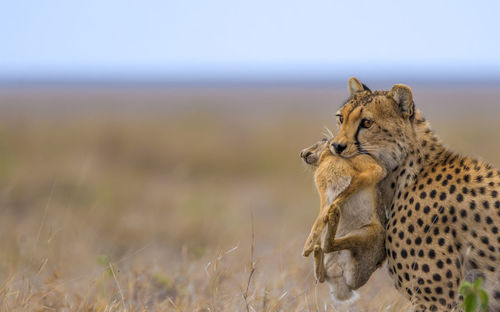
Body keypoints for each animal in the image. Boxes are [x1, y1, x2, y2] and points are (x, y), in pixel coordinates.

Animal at [300, 136, 386, 302]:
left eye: (323, 139)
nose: (302, 153)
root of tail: (345, 286)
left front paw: (306, 248)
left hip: (370, 233)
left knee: (328, 245)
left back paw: (331, 220)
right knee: (321, 275)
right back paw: (317, 249)